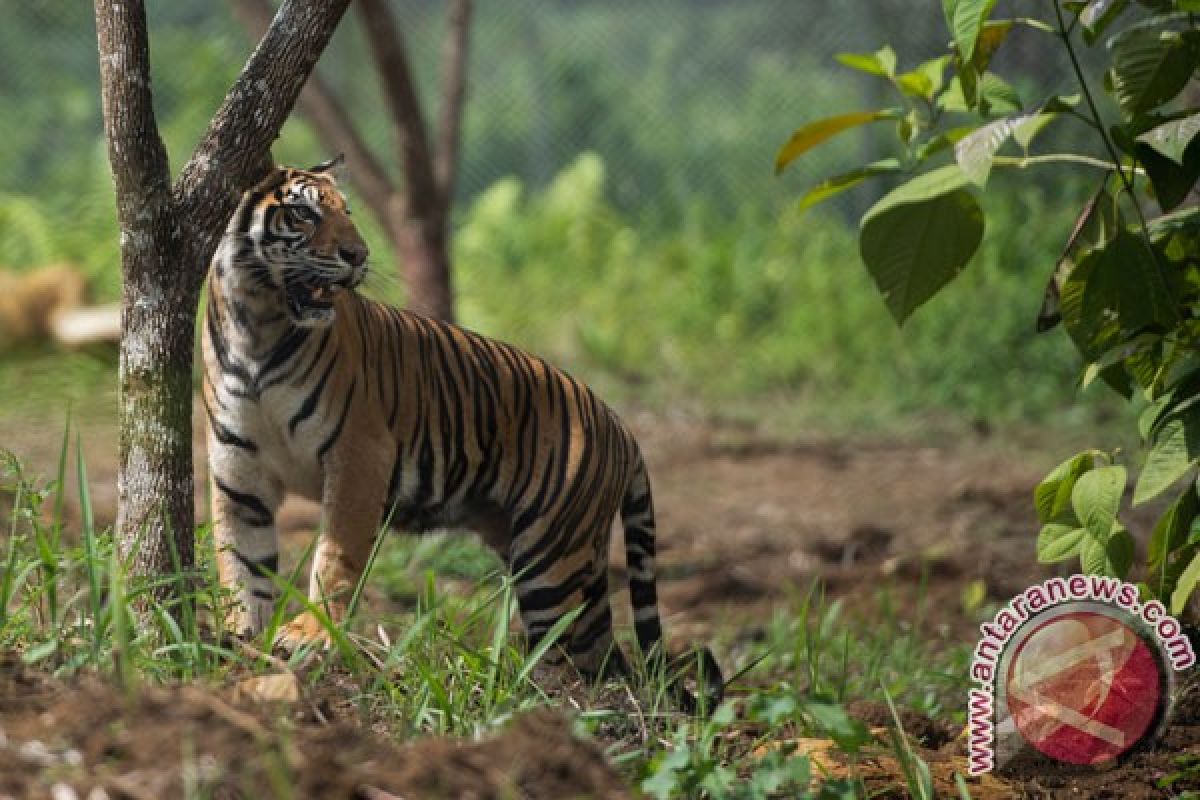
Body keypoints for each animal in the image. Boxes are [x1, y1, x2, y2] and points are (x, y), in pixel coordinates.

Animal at [204, 155, 720, 705]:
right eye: (304, 214)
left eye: (347, 212)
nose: (359, 255)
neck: (257, 323)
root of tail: (619, 423)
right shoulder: (239, 471)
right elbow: (240, 563)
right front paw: (239, 640)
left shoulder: (359, 455)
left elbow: (336, 557)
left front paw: (311, 635)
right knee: (605, 657)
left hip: (552, 560)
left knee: (582, 653)